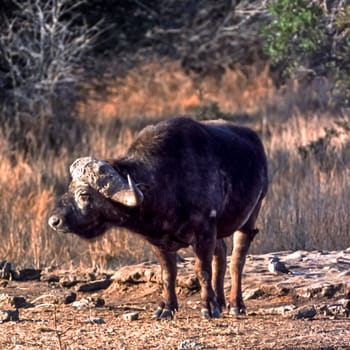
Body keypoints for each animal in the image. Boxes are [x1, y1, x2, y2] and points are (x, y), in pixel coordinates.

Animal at [48, 116, 268, 318]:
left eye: (84, 194)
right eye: (69, 188)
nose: (54, 221)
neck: (168, 182)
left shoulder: (204, 233)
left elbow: (202, 270)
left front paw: (208, 306)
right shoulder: (159, 242)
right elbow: (168, 273)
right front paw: (167, 308)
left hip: (250, 216)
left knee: (237, 260)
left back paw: (235, 304)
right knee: (221, 254)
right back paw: (221, 301)